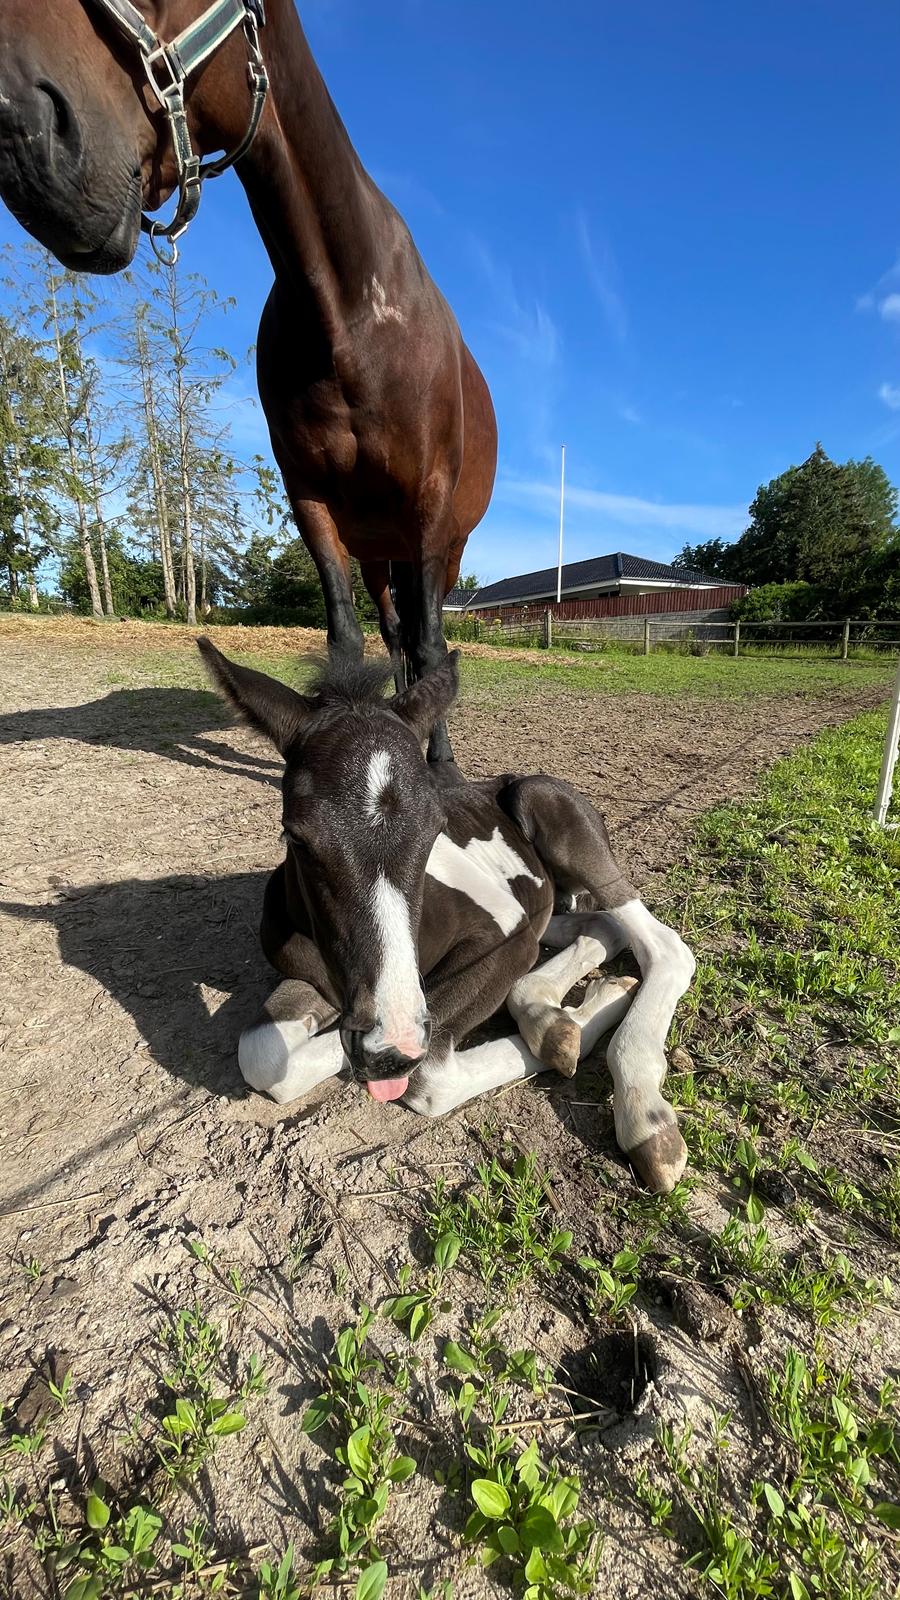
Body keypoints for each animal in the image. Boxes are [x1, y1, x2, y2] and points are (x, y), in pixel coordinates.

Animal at [0, 0, 496, 761]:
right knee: (393, 633)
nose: (23, 120)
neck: (350, 315)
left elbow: (433, 646)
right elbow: (348, 639)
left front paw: (436, 760)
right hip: (376, 549)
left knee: (418, 637)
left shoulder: (430, 507)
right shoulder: (311, 498)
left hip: (439, 543)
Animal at [197, 643, 695, 1196]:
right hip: (545, 907)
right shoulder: (318, 980)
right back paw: (550, 1019)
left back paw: (643, 1113)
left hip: (559, 823)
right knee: (600, 926)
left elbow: (428, 1076)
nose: (390, 1046)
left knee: (662, 943)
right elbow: (264, 1056)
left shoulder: (504, 938)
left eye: (436, 828)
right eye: (296, 838)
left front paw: (575, 1031)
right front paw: (565, 1025)